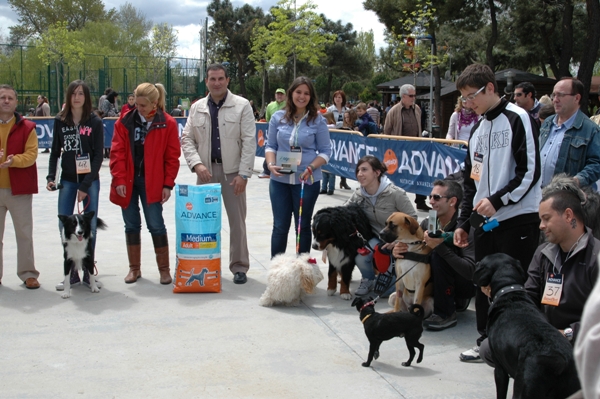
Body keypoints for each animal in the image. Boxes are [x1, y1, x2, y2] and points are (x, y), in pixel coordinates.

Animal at [474, 255, 580, 398]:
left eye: (482, 262)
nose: (476, 263)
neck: (511, 294)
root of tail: (561, 360)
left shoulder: (500, 368)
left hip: (524, 386)